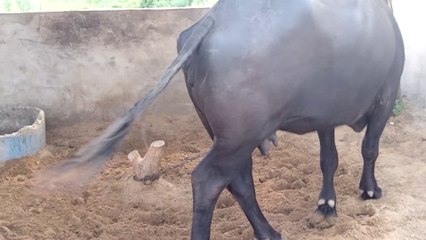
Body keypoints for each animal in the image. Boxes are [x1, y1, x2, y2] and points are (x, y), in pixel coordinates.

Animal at [41, 0, 404, 239]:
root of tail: (213, 19)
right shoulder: (387, 94)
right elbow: (370, 148)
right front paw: (370, 190)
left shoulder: (325, 114)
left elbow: (329, 158)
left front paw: (326, 206)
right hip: (240, 135)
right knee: (209, 180)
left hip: (229, 134)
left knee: (239, 179)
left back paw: (269, 232)